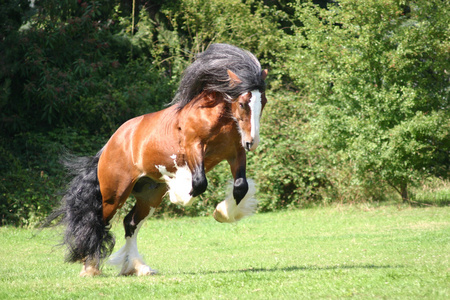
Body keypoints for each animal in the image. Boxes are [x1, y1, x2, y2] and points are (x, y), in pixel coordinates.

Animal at [46, 43, 268, 276]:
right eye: (242, 103)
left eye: (263, 101)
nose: (252, 142)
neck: (215, 119)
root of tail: (109, 145)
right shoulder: (193, 148)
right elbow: (199, 183)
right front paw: (180, 193)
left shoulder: (236, 153)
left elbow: (241, 187)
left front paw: (222, 213)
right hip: (114, 195)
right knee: (98, 222)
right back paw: (90, 268)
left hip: (149, 196)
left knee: (130, 223)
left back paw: (137, 267)